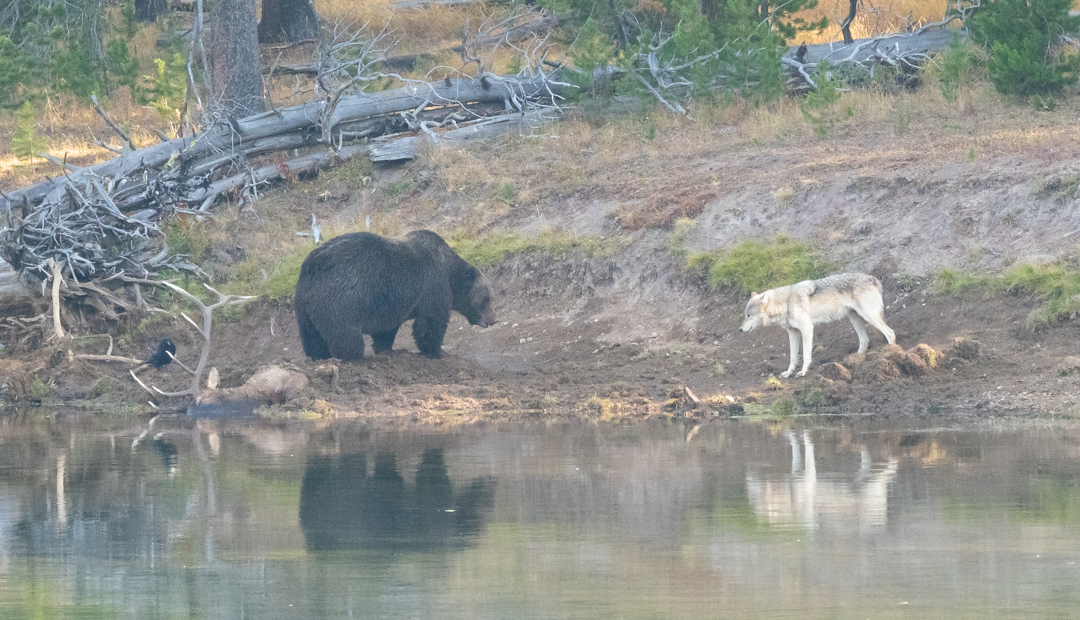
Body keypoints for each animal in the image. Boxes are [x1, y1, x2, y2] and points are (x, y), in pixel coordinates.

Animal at [295, 231, 496, 362]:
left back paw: (319, 357)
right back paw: (351, 358)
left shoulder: (388, 306)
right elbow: (430, 321)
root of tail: (311, 264)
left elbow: (386, 330)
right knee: (346, 336)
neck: (450, 273)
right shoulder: (433, 284)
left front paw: (385, 348)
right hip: (340, 300)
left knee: (312, 337)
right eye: (486, 299)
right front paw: (435, 352)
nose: (494, 320)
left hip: (305, 307)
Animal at [743, 275, 894, 382]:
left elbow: (805, 355)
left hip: (869, 317)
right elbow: (793, 358)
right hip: (855, 319)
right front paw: (788, 373)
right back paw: (856, 359)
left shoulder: (807, 329)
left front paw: (803, 372)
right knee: (865, 340)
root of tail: (874, 278)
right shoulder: (793, 333)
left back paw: (892, 353)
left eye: (749, 315)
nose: (740, 329)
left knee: (890, 333)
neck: (785, 302)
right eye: (745, 315)